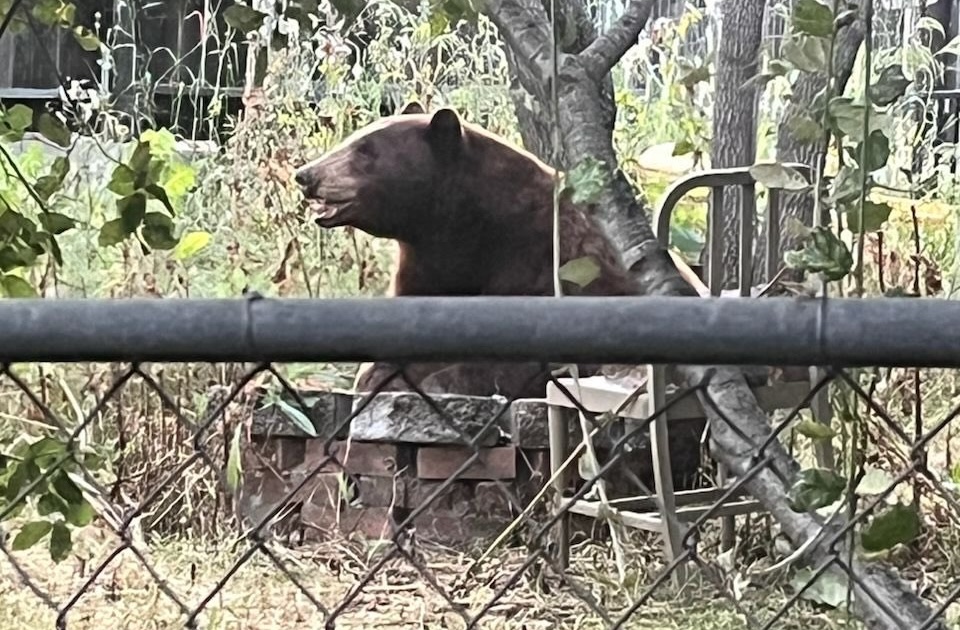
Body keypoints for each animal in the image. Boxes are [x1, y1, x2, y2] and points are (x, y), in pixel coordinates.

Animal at [293, 102, 640, 400]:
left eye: (365, 150)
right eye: (352, 140)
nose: (306, 174)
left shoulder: (545, 263)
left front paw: (438, 380)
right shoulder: (425, 265)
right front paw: (380, 375)